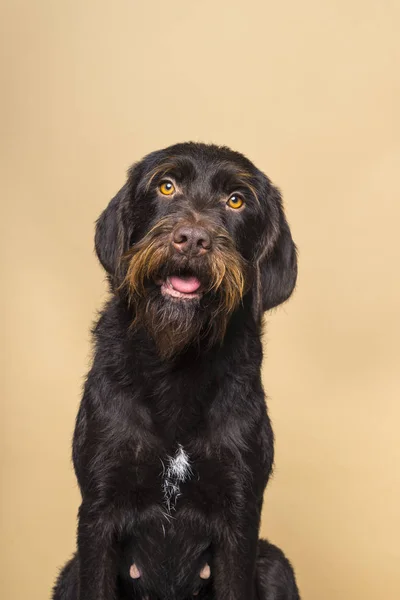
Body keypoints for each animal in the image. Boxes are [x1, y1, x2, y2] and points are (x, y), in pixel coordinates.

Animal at [51, 143, 298, 596]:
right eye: (166, 186)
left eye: (236, 200)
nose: (193, 240)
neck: (177, 365)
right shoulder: (98, 511)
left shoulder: (240, 516)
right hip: (69, 572)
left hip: (275, 564)